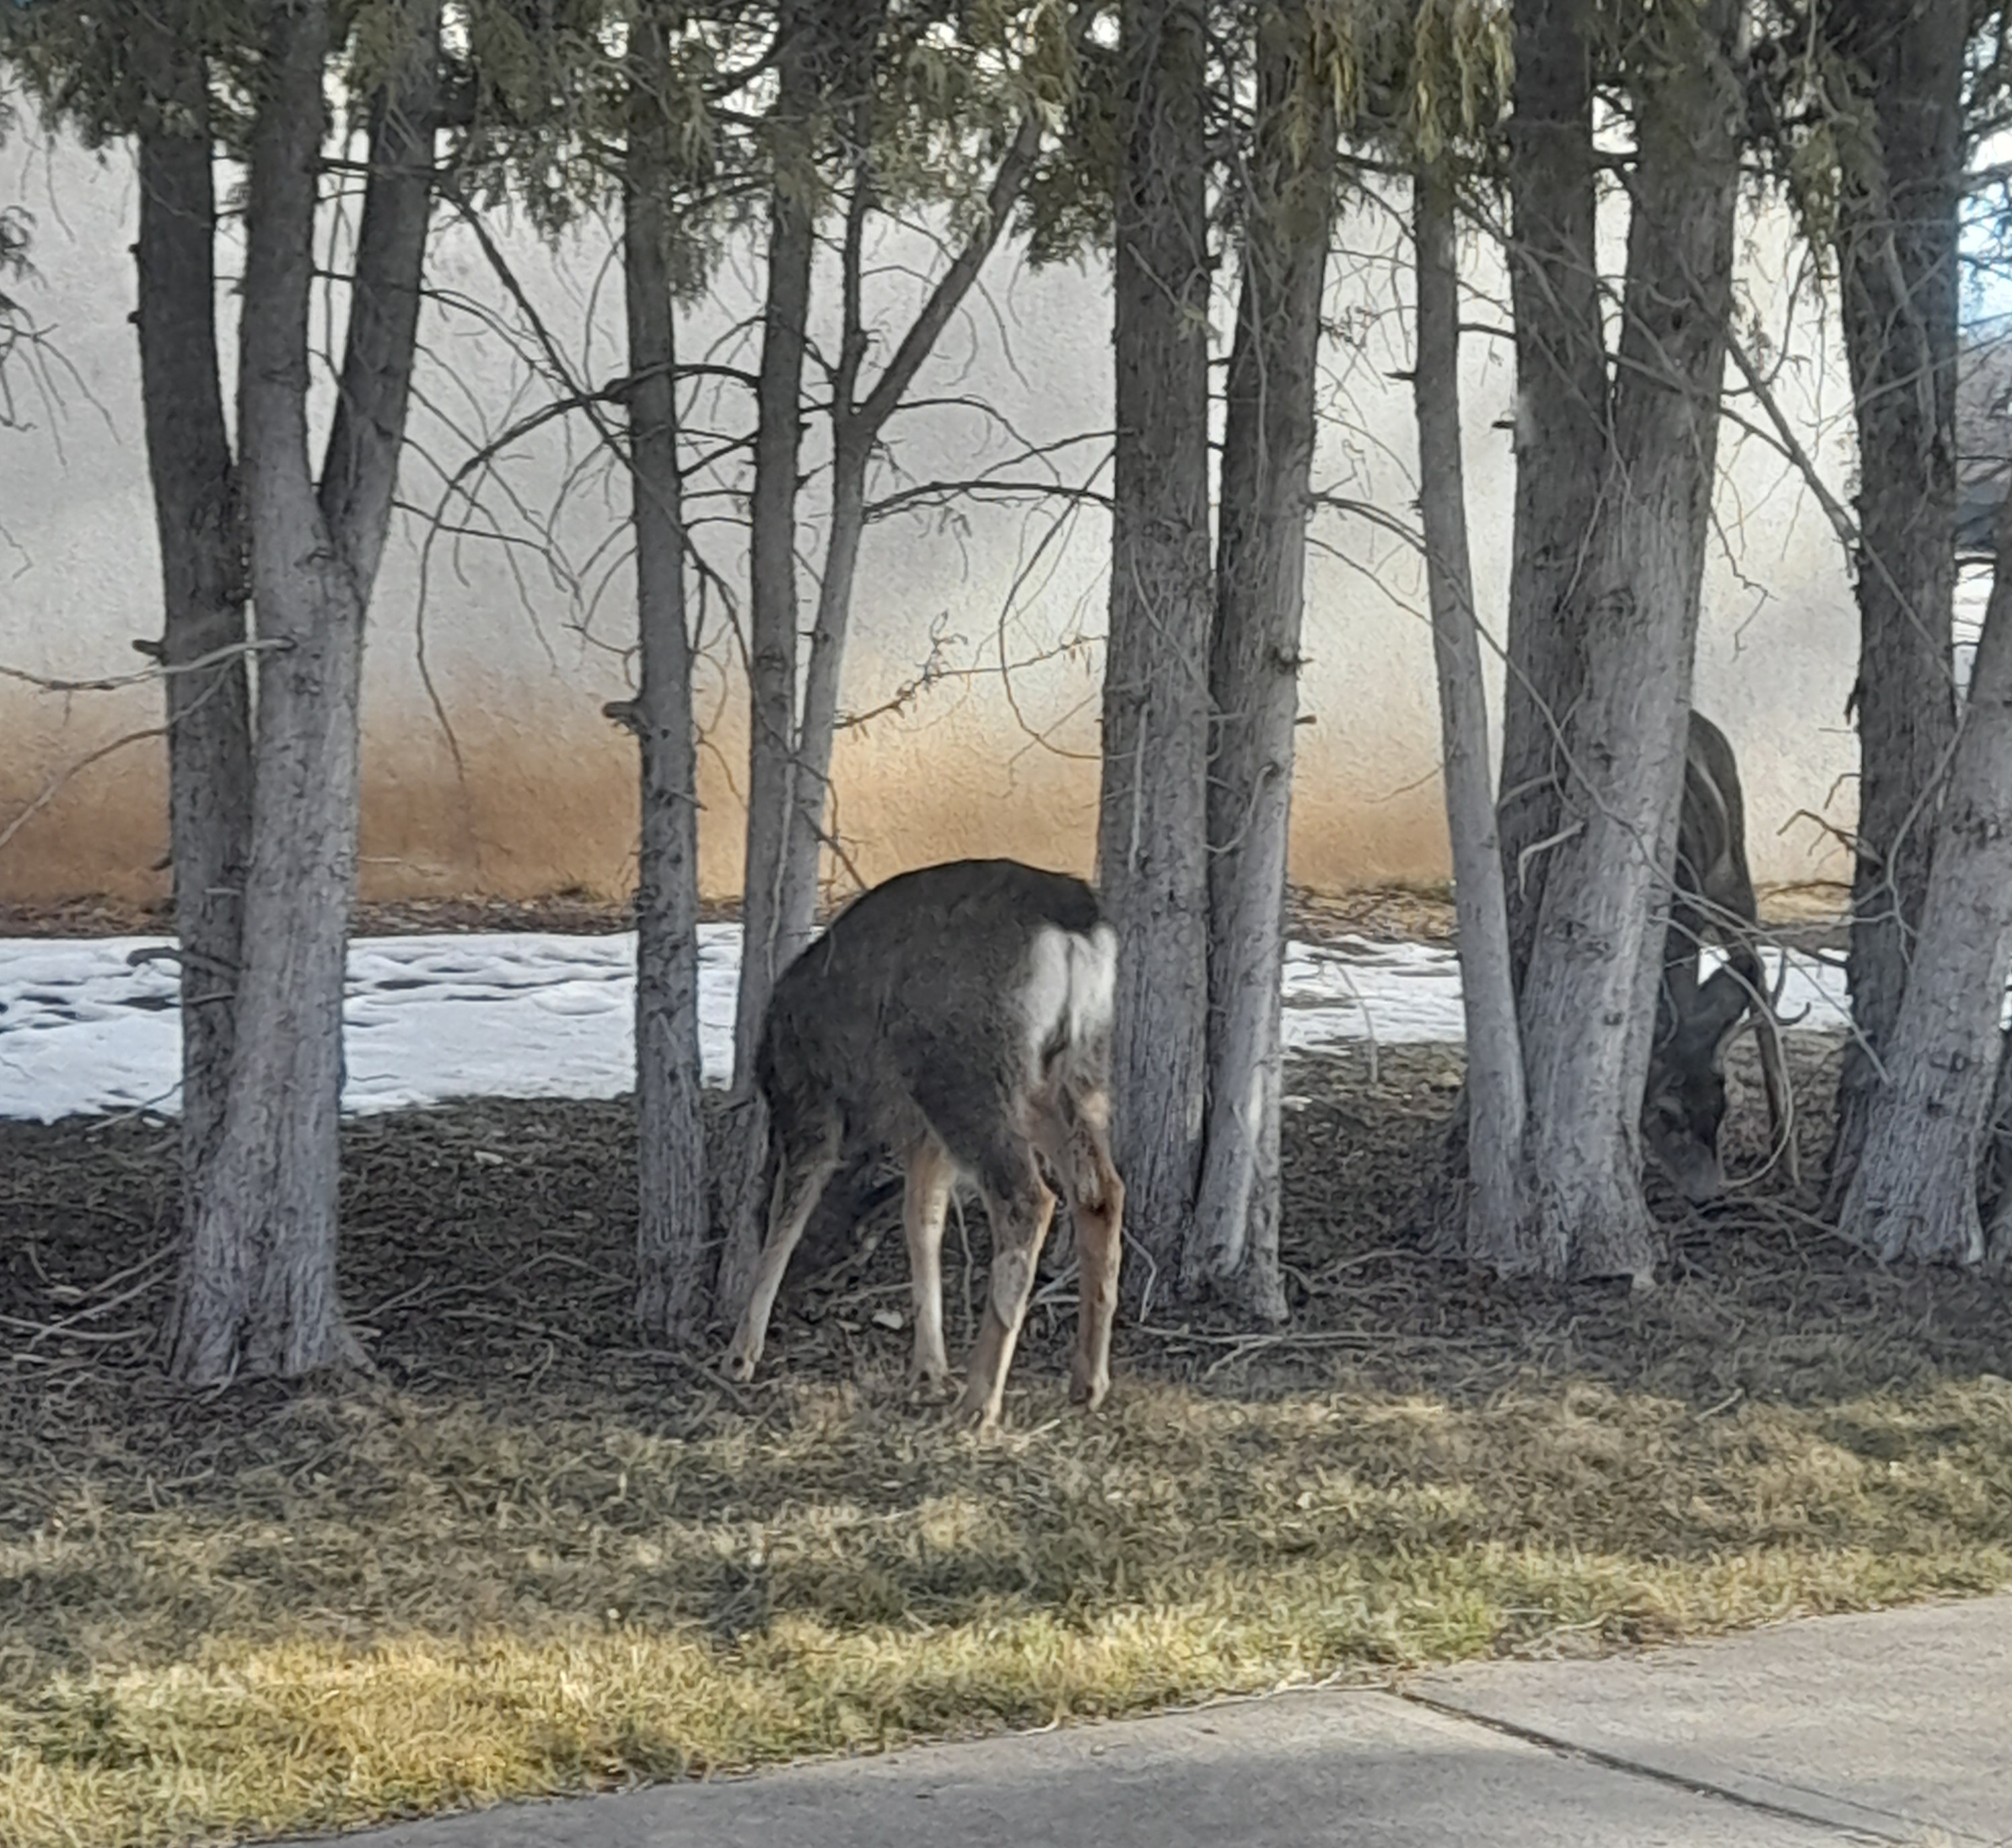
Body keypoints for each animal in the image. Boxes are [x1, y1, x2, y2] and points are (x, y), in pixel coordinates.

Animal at [722, 858, 1125, 1431]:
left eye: (846, 1255)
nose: (810, 1303)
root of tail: (1076, 926)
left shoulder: (810, 1104)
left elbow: (788, 1215)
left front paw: (741, 1354)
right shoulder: (923, 1135)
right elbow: (923, 1222)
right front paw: (928, 1369)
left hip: (963, 1071)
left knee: (1028, 1198)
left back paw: (981, 1400)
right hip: (1073, 1068)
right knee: (1101, 1191)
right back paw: (1087, 1383)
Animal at [1641, 711, 1797, 1203]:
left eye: (1722, 1104)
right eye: (1666, 1113)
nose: (1708, 1194)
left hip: (1734, 869)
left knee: (1760, 978)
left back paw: (1787, 1161)